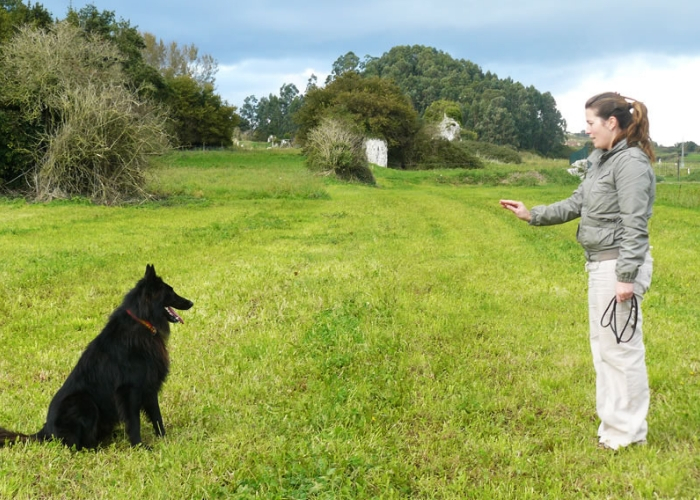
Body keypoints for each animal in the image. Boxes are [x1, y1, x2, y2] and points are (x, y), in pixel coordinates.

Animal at [0, 266, 191, 450]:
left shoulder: (149, 386)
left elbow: (157, 417)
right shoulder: (128, 391)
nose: (191, 303)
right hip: (83, 402)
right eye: (171, 291)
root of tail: (45, 431)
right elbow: (134, 423)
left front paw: (163, 438)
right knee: (76, 445)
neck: (142, 321)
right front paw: (139, 446)